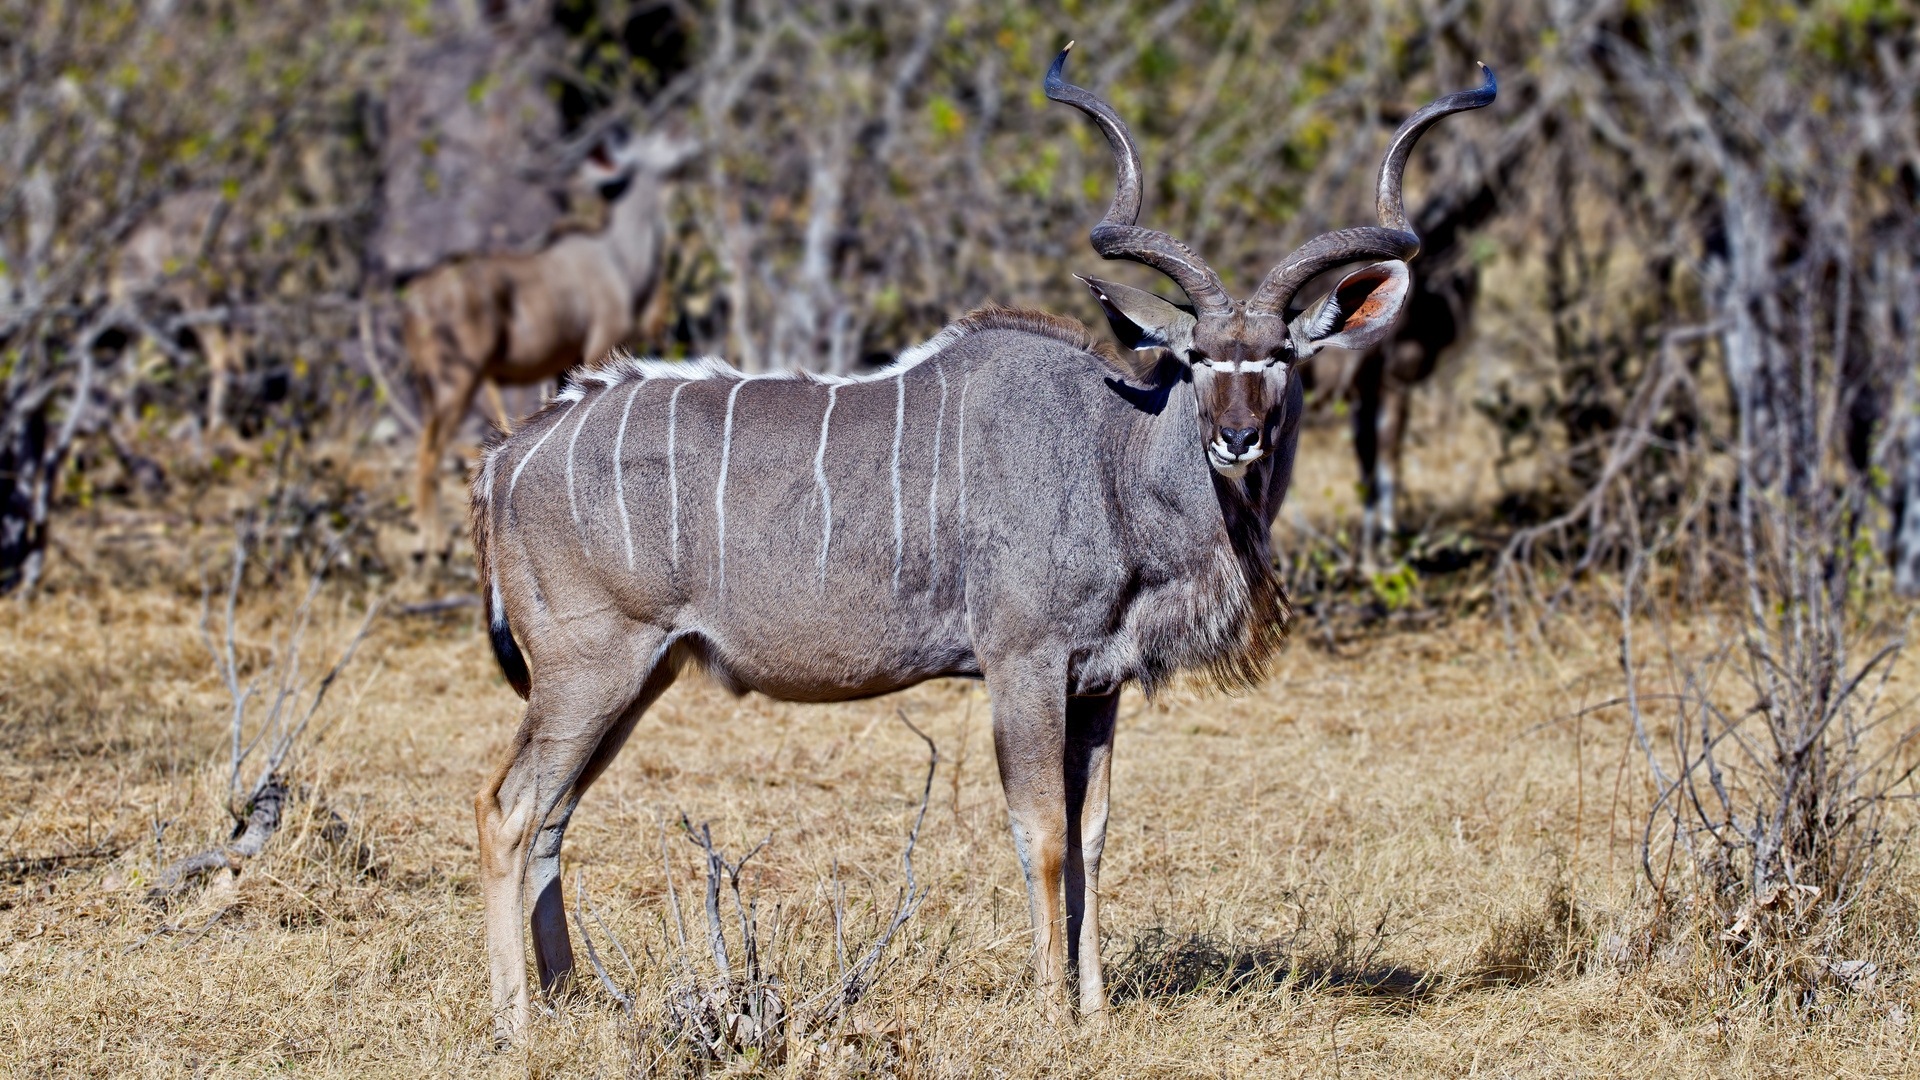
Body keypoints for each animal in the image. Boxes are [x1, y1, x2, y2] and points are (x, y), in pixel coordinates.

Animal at [472, 46, 1489, 1030]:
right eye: (1197, 357)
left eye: (1280, 357)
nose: (1235, 439)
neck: (1109, 454)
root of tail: (510, 454)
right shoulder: (1023, 662)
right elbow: (1040, 835)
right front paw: (1049, 1010)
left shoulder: (1097, 685)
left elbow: (1091, 836)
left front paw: (1096, 1011)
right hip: (591, 668)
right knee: (509, 809)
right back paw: (519, 1024)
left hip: (636, 676)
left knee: (554, 817)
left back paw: (568, 1004)